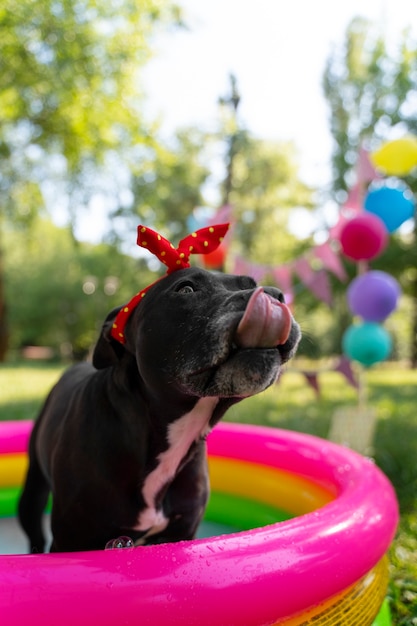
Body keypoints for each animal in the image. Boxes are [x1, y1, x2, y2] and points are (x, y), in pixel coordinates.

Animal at [18, 266, 300, 548]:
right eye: (186, 289)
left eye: (251, 284)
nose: (274, 294)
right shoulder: (72, 539)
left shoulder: (180, 533)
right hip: (32, 494)